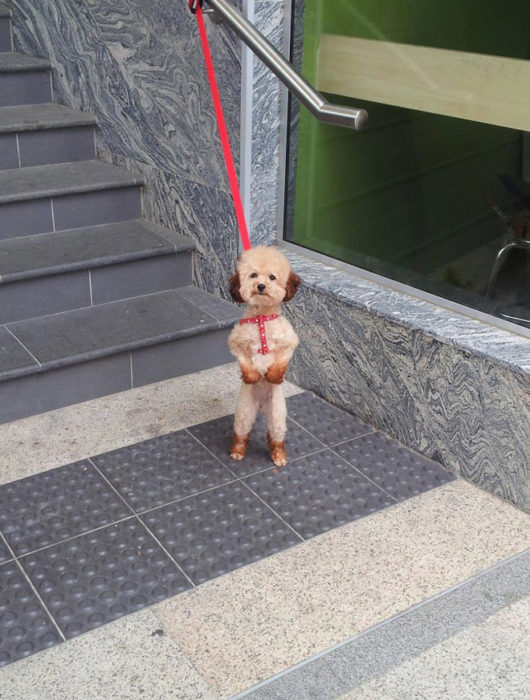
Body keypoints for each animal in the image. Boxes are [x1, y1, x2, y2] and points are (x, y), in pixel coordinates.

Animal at [228, 243, 302, 468]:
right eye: (253, 275)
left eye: (272, 277)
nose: (260, 286)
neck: (261, 318)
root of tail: (260, 406)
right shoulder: (237, 342)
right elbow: (246, 363)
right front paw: (252, 377)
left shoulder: (289, 342)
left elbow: (279, 364)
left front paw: (272, 377)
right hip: (243, 413)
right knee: (241, 434)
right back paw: (237, 452)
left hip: (277, 416)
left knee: (275, 438)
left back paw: (279, 457)